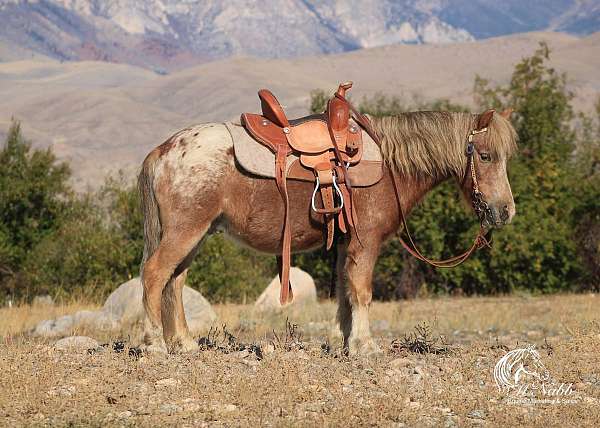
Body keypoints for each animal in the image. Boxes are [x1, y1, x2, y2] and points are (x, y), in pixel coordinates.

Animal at [137, 108, 516, 354]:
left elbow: (346, 293)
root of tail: (163, 150)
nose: (505, 211)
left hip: (196, 235)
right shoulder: (366, 243)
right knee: (155, 275)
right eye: (485, 156)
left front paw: (344, 341)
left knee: (175, 281)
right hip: (186, 231)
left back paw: (185, 343)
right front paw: (365, 345)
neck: (388, 165)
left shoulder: (346, 244)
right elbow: (361, 291)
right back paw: (155, 344)